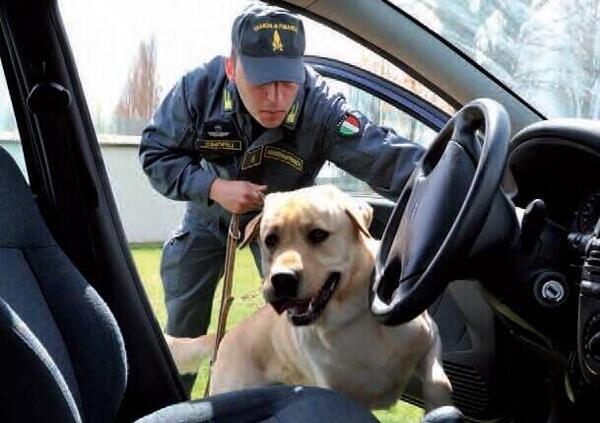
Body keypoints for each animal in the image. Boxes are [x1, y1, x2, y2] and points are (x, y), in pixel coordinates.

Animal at [164, 185, 450, 410]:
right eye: (270, 240)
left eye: (318, 234)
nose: (282, 280)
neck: (352, 318)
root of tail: (226, 335)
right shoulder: (339, 394)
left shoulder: (430, 340)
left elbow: (440, 384)